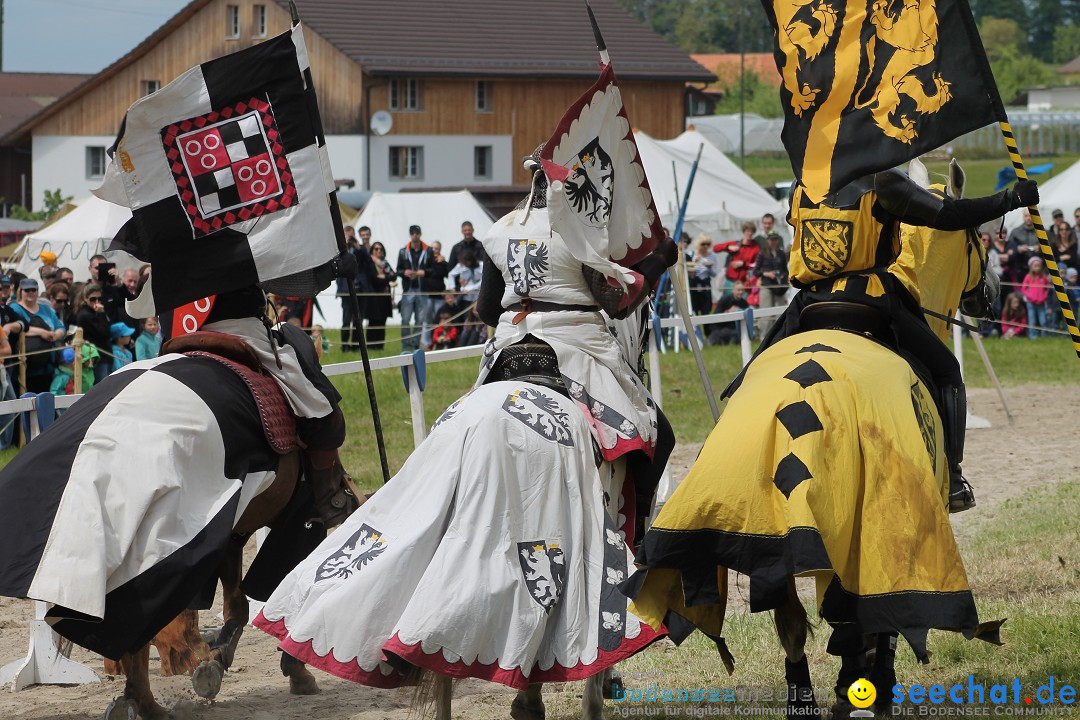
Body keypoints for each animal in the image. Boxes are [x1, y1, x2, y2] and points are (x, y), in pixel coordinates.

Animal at [626, 158, 1002, 720]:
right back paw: (858, 691)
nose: (993, 292)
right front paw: (877, 689)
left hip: (768, 537)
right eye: (980, 237)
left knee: (793, 629)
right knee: (855, 627)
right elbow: (883, 631)